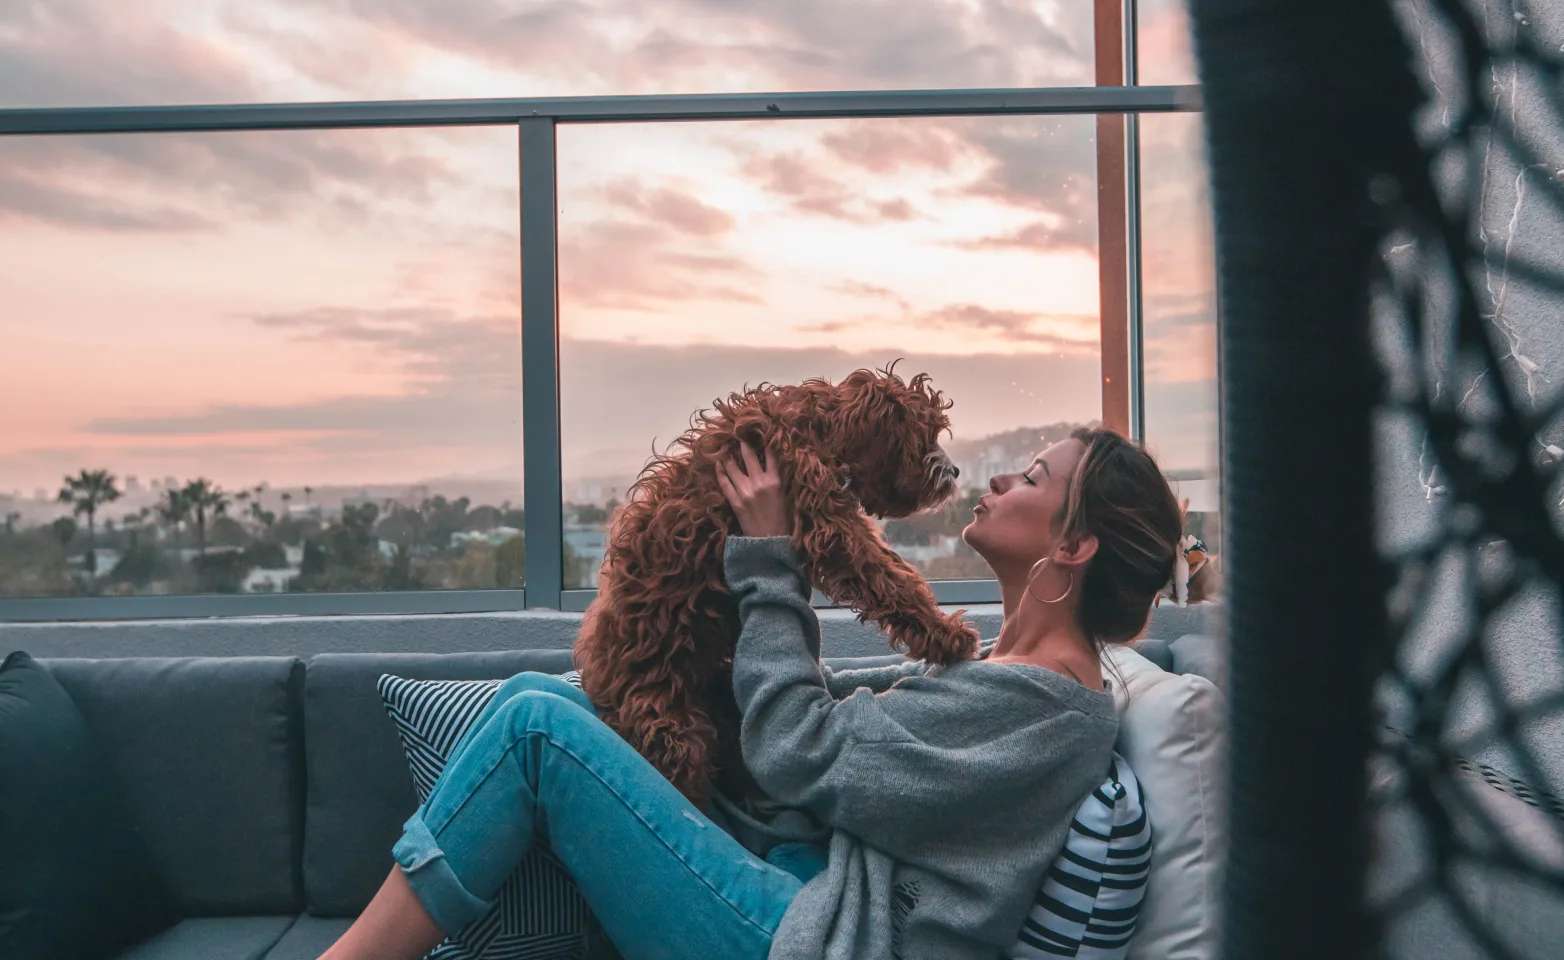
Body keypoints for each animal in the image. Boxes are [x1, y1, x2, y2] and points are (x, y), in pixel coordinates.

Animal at [578, 364, 975, 800]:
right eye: (925, 435)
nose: (954, 472)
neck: (819, 432)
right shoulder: (829, 524)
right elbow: (887, 576)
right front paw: (946, 634)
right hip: (668, 725)